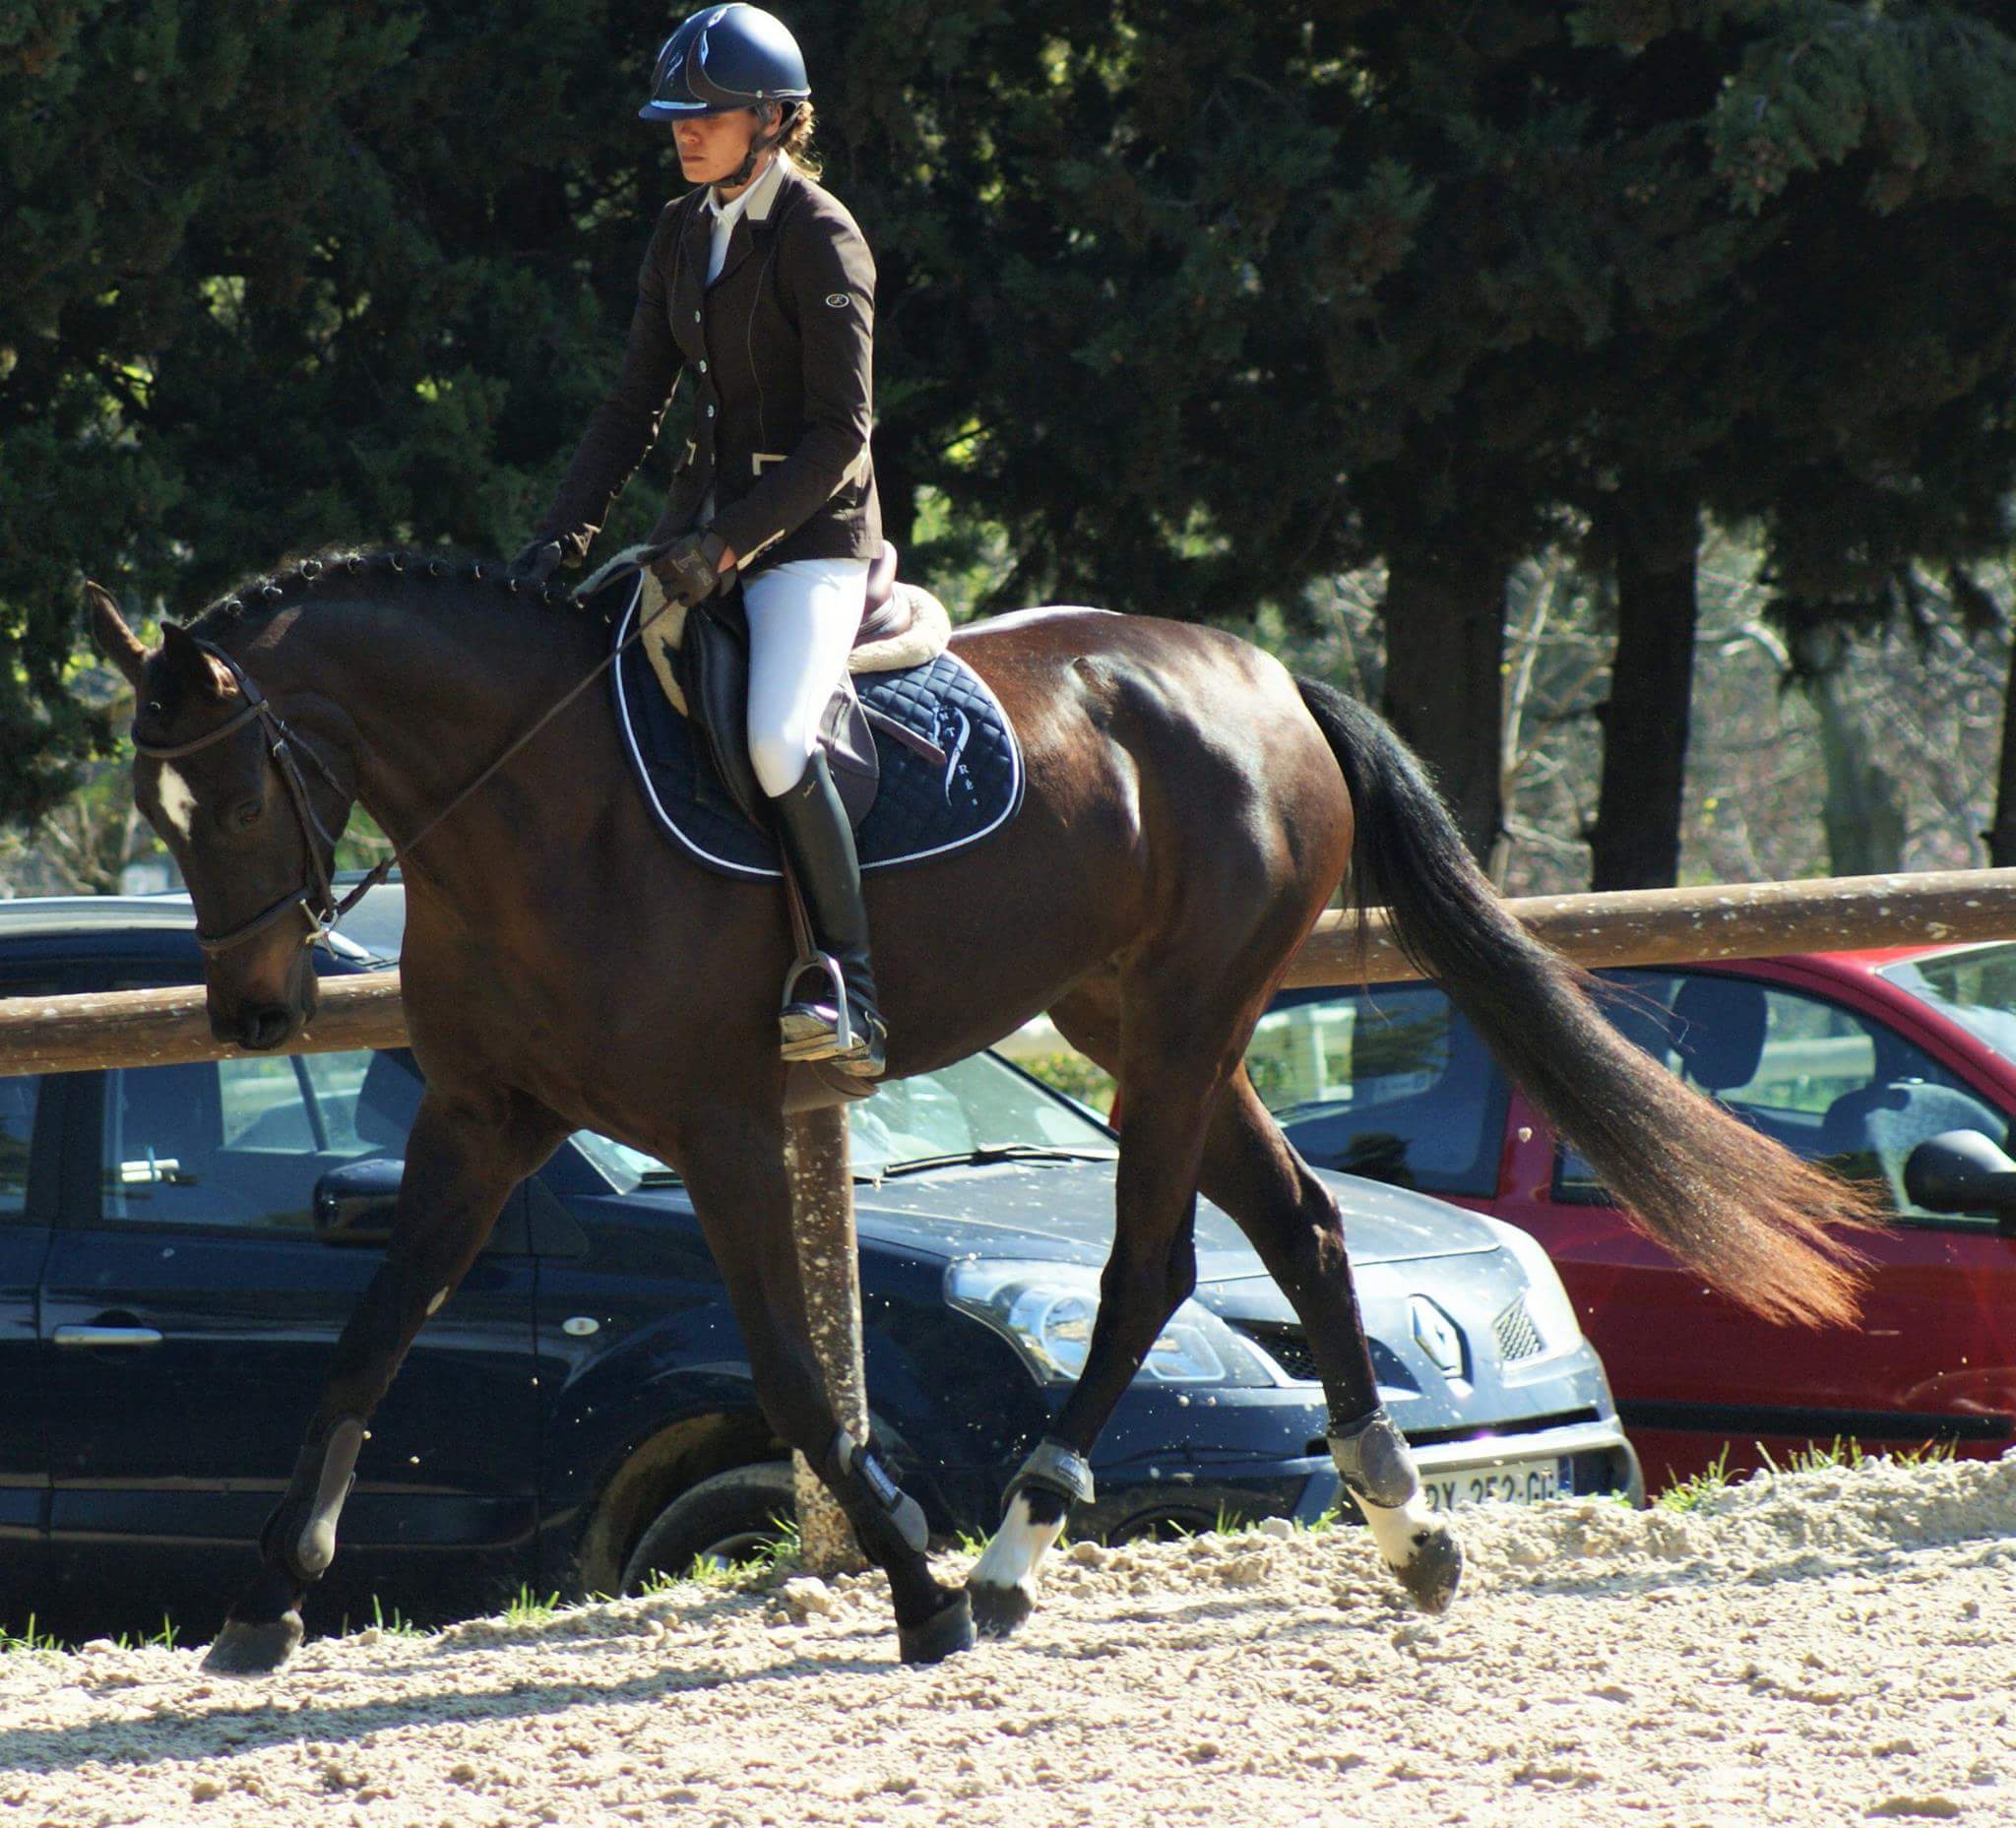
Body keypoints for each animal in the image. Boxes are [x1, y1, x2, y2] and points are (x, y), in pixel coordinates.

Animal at [87, 551, 1862, 1669]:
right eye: (153, 813)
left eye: (228, 799)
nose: (251, 1017)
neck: (533, 811)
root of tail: (1265, 675)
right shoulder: (478, 1119)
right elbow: (365, 1339)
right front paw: (264, 1604)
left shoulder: (722, 1127)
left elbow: (800, 1381)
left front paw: (913, 1588)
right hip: (1134, 1017)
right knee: (1295, 1225)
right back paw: (1404, 1530)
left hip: (1182, 1021)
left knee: (1152, 1267)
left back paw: (1011, 1556)